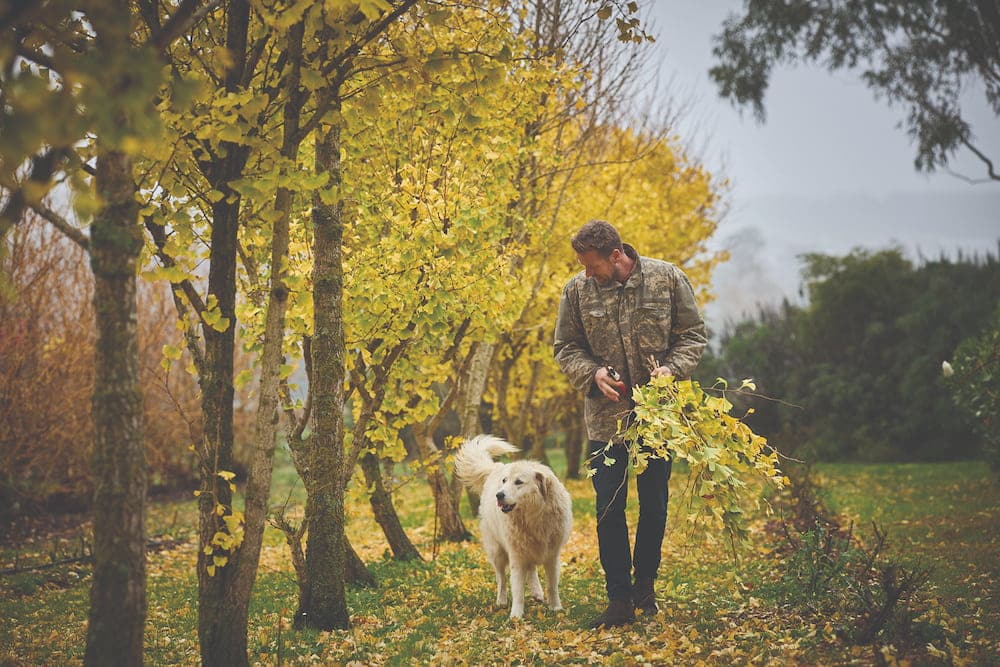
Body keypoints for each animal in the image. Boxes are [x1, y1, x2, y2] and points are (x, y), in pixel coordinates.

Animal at [454, 436, 572, 620]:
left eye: (518, 482)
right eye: (504, 481)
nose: (499, 495)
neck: (534, 517)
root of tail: (496, 467)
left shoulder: (552, 555)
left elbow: (552, 585)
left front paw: (556, 608)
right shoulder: (516, 556)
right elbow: (517, 590)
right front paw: (516, 615)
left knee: (531, 569)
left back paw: (537, 592)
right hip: (497, 552)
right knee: (501, 579)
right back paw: (501, 601)